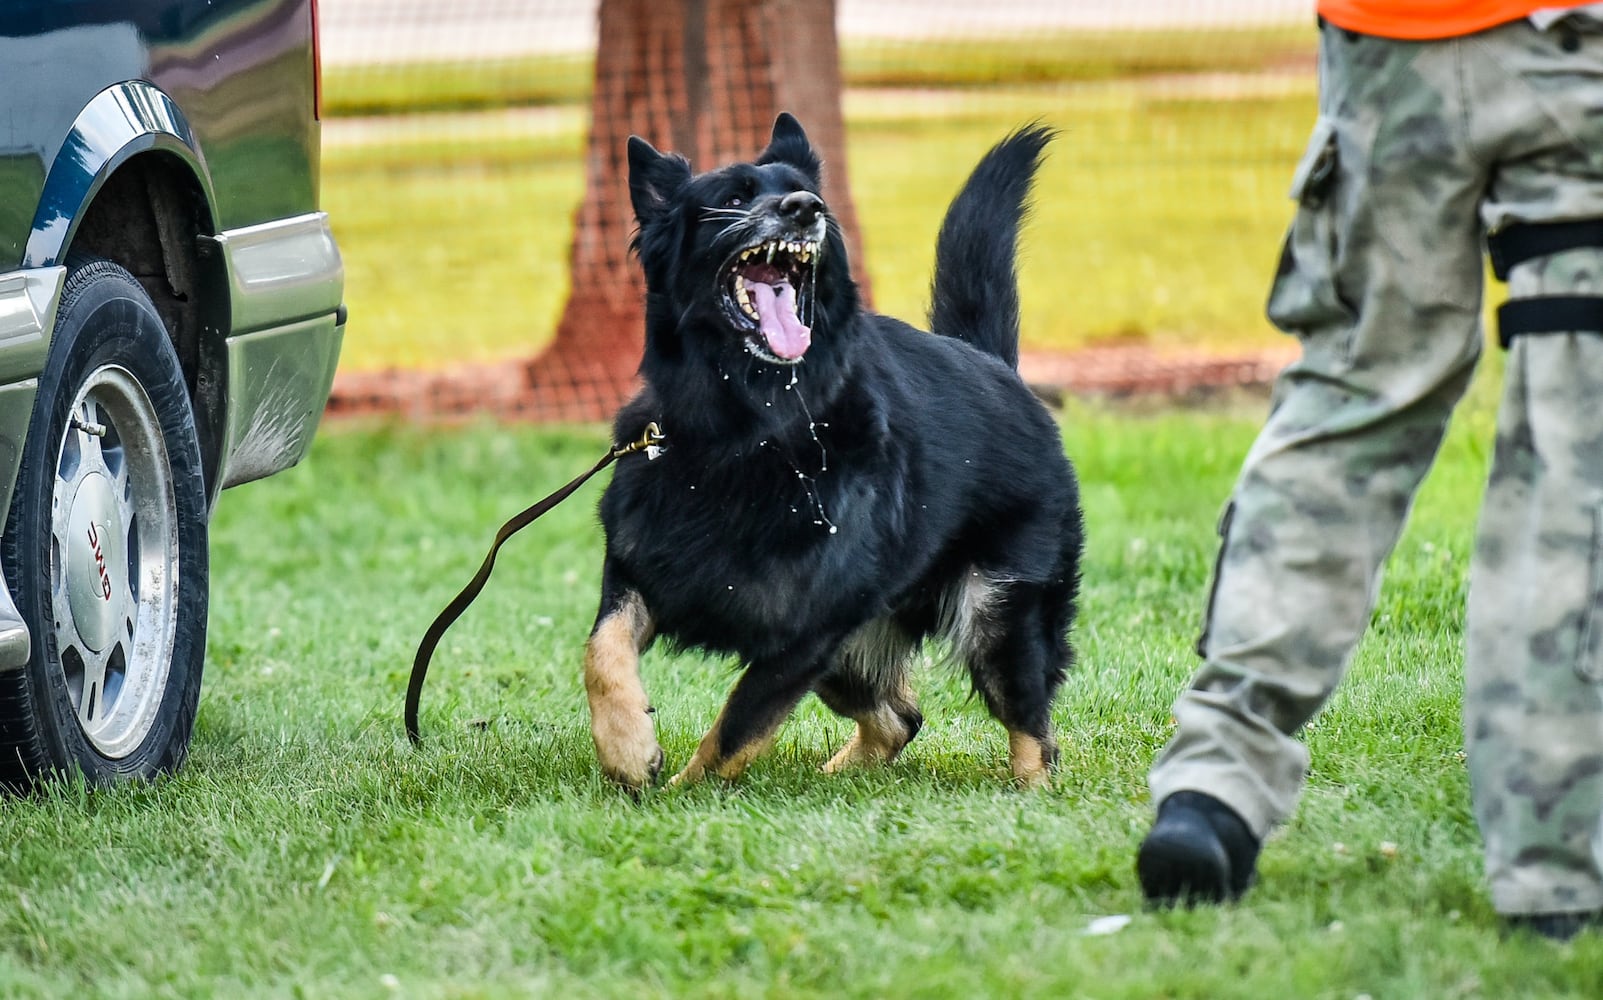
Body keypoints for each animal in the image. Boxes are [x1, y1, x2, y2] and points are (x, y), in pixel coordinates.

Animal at [583, 115, 1083, 788]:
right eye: (734, 197)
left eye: (805, 194)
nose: (805, 208)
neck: (747, 429)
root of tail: (993, 365)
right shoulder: (637, 571)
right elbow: (602, 652)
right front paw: (629, 748)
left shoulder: (807, 635)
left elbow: (735, 727)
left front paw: (682, 793)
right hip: (853, 655)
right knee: (902, 719)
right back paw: (840, 776)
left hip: (997, 619)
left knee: (1032, 728)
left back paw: (1028, 792)